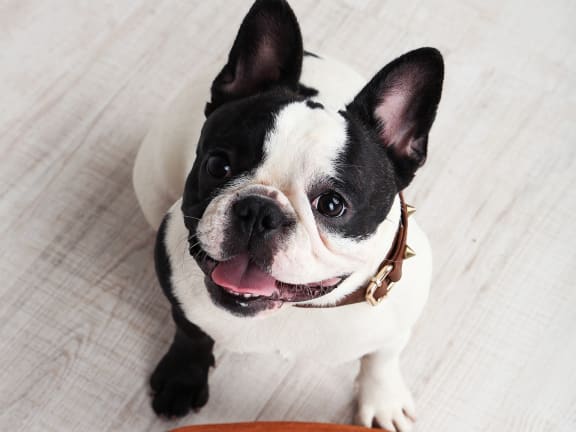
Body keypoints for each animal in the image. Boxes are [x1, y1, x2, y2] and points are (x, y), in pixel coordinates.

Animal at [133, 0, 444, 428]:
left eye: (332, 205)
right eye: (218, 166)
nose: (258, 210)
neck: (294, 310)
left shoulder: (396, 313)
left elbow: (382, 357)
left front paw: (382, 401)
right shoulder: (175, 279)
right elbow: (190, 331)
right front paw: (183, 377)